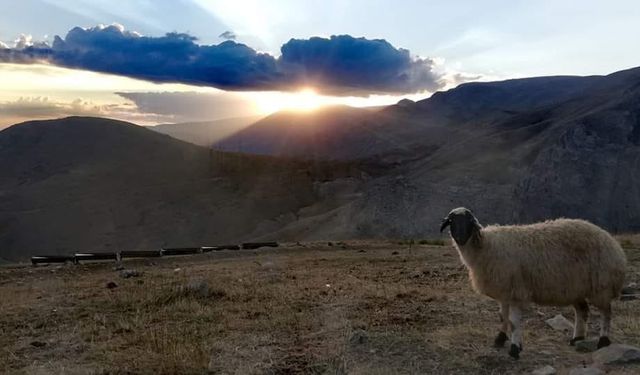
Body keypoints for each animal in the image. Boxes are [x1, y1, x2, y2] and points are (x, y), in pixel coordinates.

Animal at [438, 207, 628, 360]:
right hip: (575, 287)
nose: (460, 238)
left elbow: (514, 322)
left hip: (601, 285)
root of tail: (612, 243)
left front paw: (515, 349)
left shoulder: (516, 291)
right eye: (452, 222)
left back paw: (603, 341)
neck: (485, 246)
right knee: (582, 311)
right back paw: (577, 338)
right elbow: (503, 316)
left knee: (606, 313)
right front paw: (500, 339)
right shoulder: (504, 292)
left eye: (469, 222)